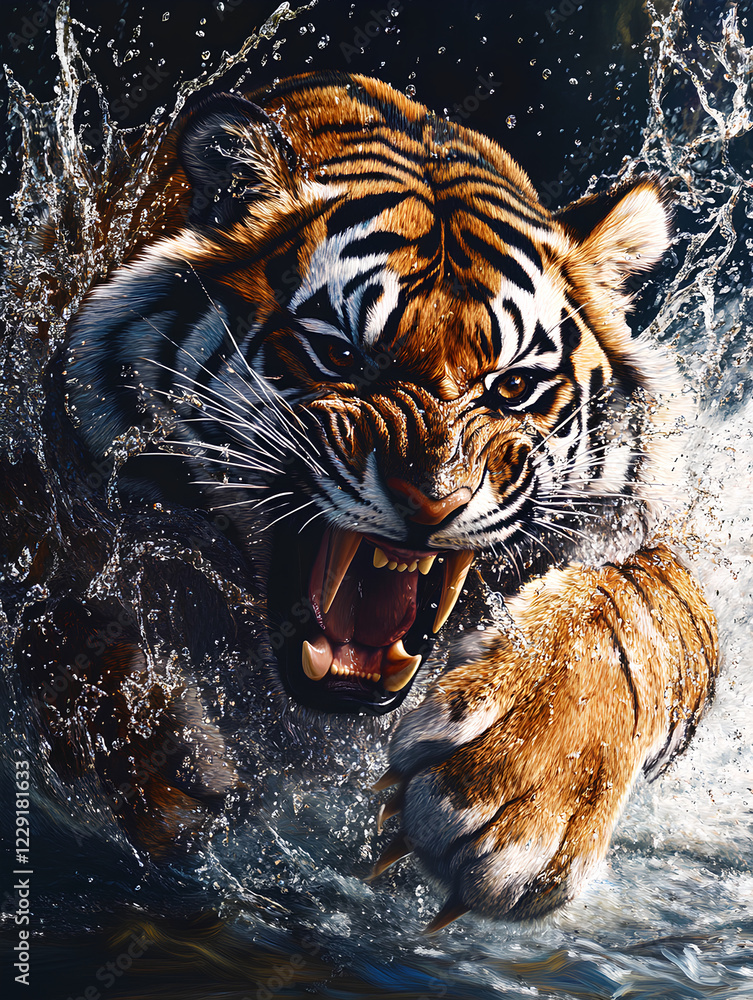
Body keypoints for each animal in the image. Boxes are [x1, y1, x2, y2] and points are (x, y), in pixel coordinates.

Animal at [31, 71, 716, 929]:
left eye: (513, 387)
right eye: (338, 356)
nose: (434, 500)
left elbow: (639, 602)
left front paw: (516, 800)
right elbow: (68, 596)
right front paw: (156, 759)